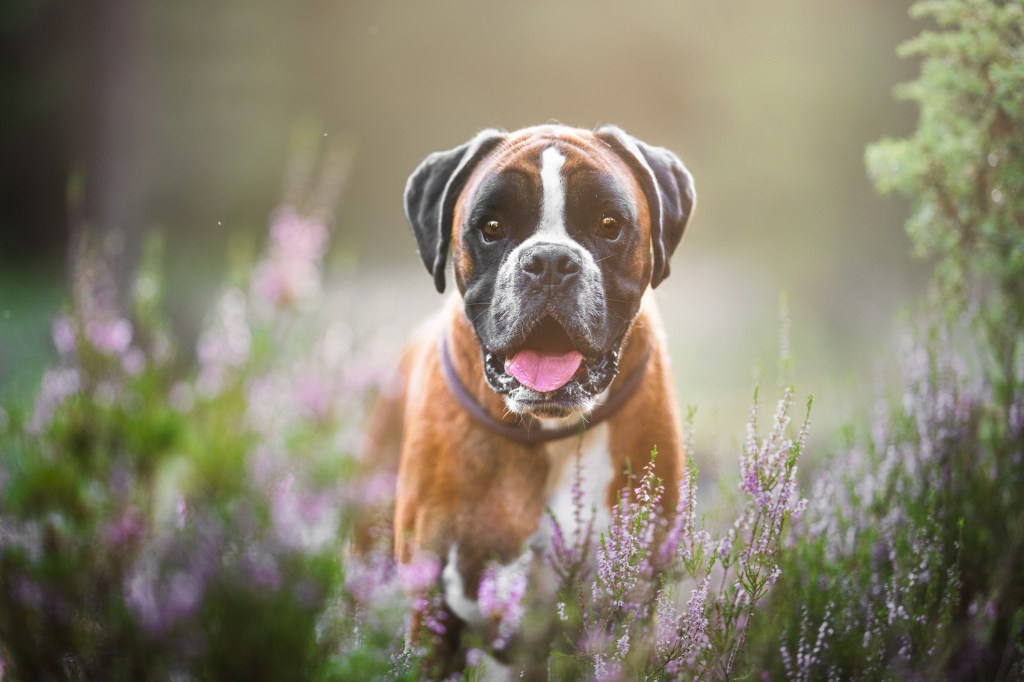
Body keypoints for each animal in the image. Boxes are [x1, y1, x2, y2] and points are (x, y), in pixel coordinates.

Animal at [385, 123, 696, 667]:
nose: (549, 260)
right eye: (490, 227)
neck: (549, 434)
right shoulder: (430, 615)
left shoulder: (626, 614)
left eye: (609, 224)